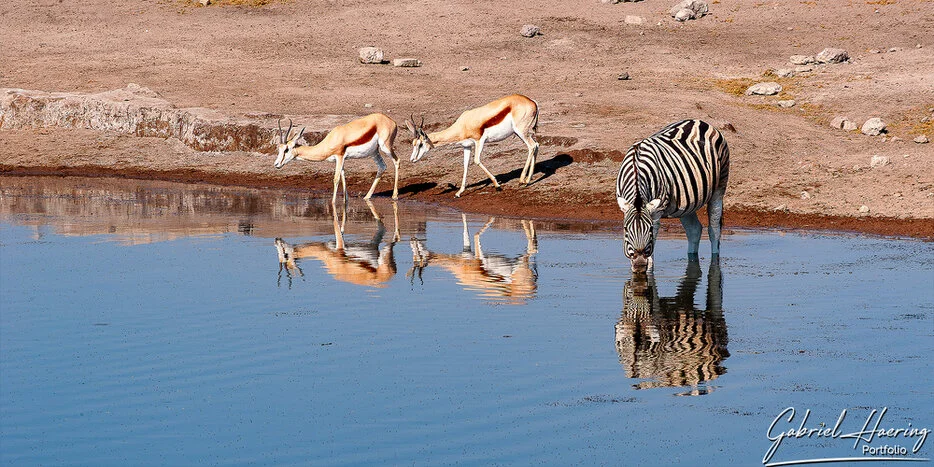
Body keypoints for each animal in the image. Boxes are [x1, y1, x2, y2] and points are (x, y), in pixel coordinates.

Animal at [615, 119, 730, 273]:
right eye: (625, 230)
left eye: (649, 229)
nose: (639, 266)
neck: (636, 169)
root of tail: (700, 121)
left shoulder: (656, 212)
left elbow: (651, 252)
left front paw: (649, 271)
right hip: (686, 201)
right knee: (694, 230)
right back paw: (692, 260)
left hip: (719, 187)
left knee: (714, 230)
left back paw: (714, 261)